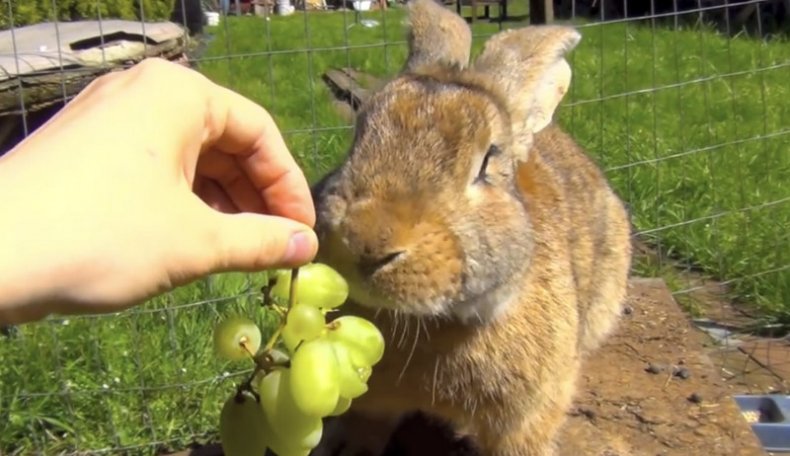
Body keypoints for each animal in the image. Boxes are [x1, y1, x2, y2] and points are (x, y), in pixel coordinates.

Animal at [306, 0, 636, 452]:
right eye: (357, 137)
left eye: (486, 162)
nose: (365, 242)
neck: (438, 322)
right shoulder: (373, 404)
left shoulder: (526, 418)